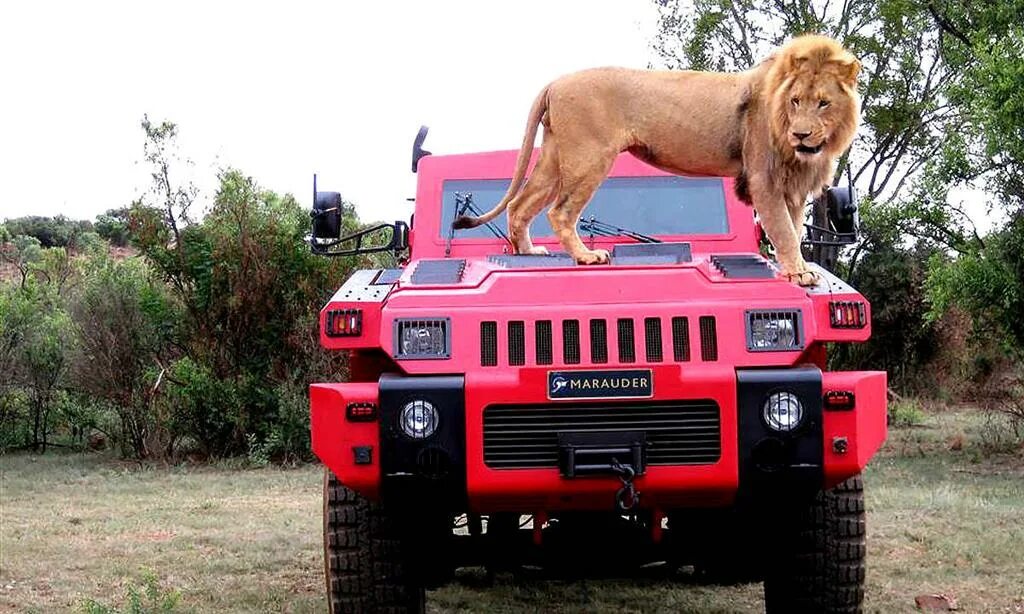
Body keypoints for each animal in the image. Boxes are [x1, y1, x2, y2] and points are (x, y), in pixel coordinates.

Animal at [452, 35, 860, 288]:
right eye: (796, 101)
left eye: (823, 103)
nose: (802, 135)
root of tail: (555, 82)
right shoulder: (764, 176)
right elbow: (784, 230)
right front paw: (800, 274)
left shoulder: (792, 185)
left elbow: (792, 226)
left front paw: (796, 269)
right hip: (589, 156)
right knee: (560, 211)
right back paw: (586, 257)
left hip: (555, 157)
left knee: (521, 205)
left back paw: (528, 252)